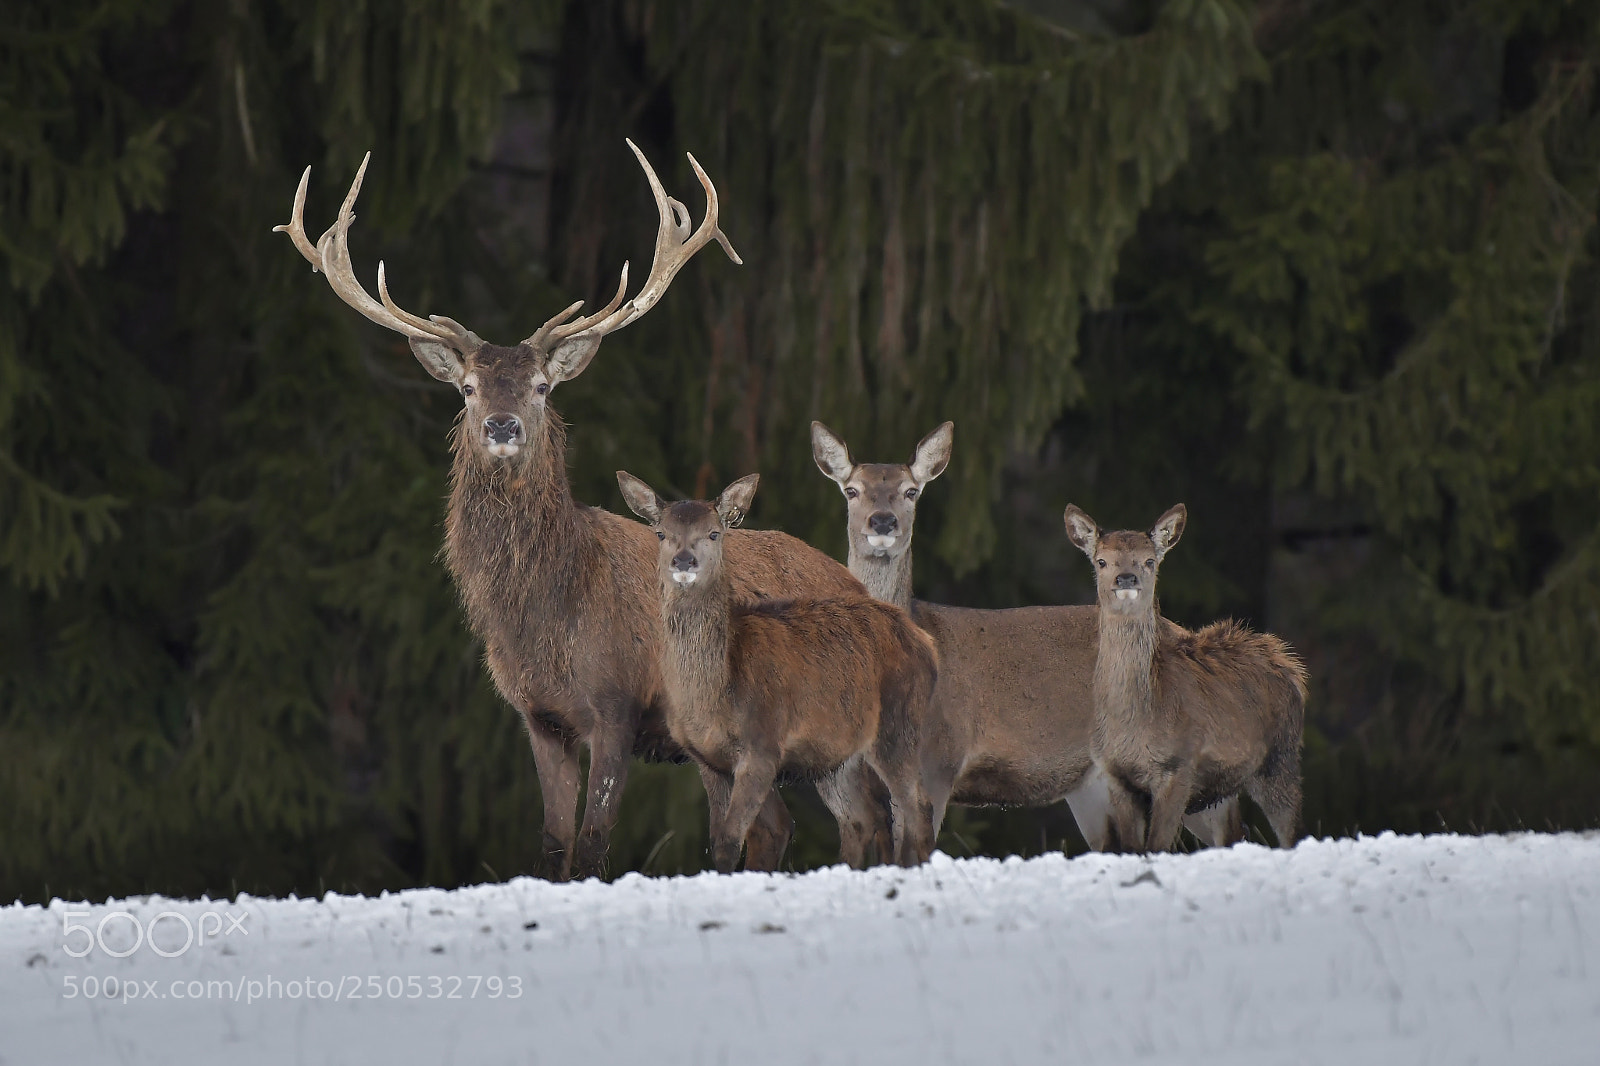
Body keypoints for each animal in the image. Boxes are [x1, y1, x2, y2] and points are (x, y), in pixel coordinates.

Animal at [275, 141, 867, 881]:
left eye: (540, 385)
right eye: (467, 388)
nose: (502, 425)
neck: (548, 613)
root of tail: (857, 583)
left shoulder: (616, 708)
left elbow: (591, 845)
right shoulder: (539, 717)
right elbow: (553, 843)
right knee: (772, 826)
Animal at [616, 471, 940, 872]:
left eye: (714, 533)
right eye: (661, 533)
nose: (684, 560)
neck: (717, 694)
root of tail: (926, 644)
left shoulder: (762, 745)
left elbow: (731, 838)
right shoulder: (707, 759)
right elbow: (718, 842)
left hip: (899, 724)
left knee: (917, 806)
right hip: (839, 754)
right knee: (862, 817)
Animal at [1063, 503, 1307, 852]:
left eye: (1149, 560)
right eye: (1102, 561)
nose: (1126, 578)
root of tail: (1288, 663)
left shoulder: (1179, 767)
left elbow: (1157, 847)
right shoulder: (1116, 777)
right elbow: (1132, 850)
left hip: (1280, 757)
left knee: (1292, 832)